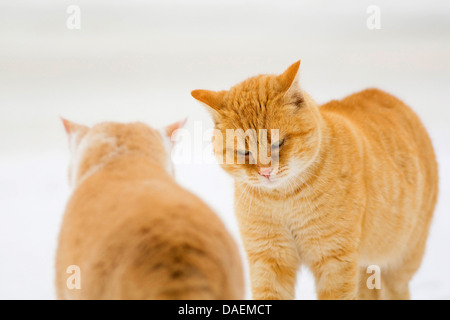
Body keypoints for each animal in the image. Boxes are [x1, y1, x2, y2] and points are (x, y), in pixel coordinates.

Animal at [192, 60, 438, 300]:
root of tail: (382, 93)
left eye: (278, 143)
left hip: (399, 264)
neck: (283, 200)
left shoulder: (334, 260)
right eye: (244, 153)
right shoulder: (269, 259)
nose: (265, 171)